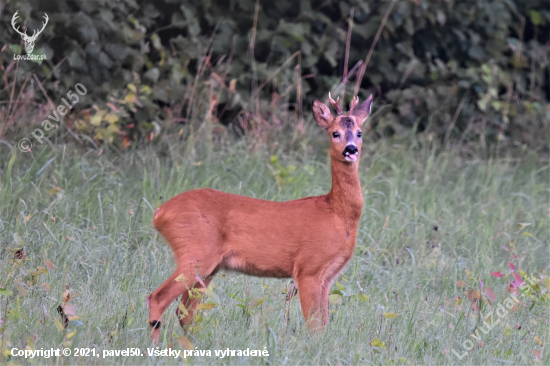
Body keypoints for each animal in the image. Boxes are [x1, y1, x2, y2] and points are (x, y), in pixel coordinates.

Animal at [151, 93, 376, 342]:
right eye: (335, 133)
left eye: (359, 132)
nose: (351, 149)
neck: (336, 213)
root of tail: (160, 213)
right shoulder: (308, 268)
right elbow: (314, 326)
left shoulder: (327, 276)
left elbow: (323, 323)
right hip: (196, 253)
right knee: (158, 297)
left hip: (209, 267)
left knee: (185, 313)